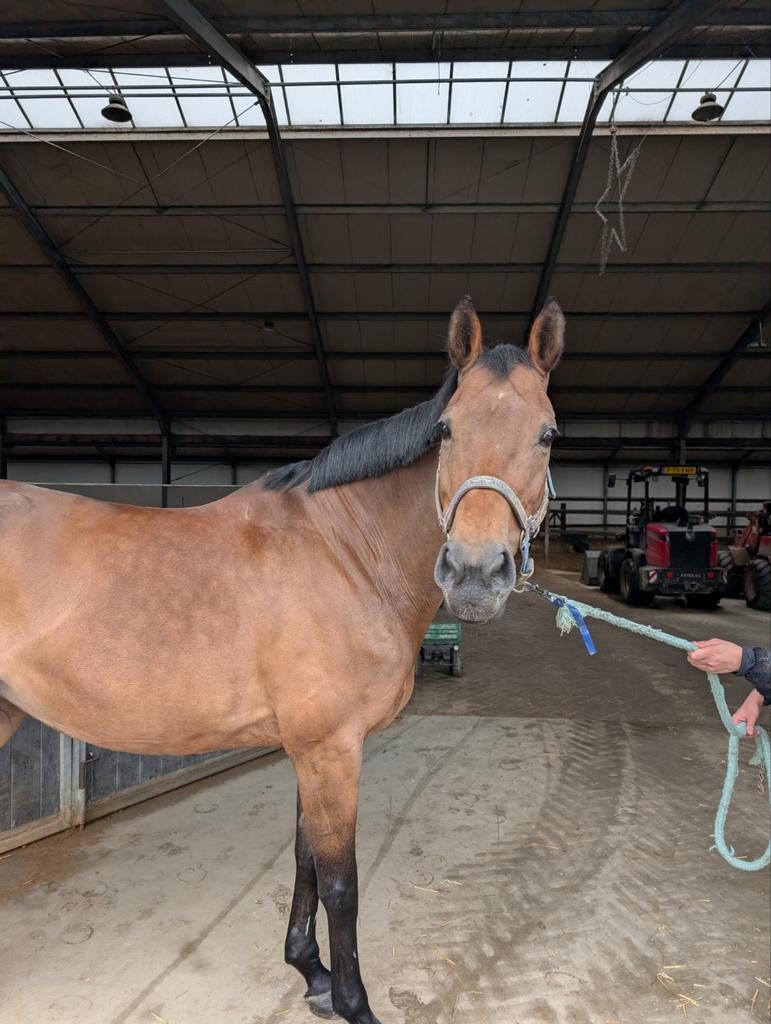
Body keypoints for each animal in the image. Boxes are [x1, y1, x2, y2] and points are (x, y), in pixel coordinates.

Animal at [0, 295, 564, 1024]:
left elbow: (303, 860)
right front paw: (353, 1001)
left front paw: (310, 972)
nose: (472, 574)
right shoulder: (331, 749)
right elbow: (341, 881)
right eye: (445, 429)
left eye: (547, 434)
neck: (345, 551)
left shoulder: (309, 749)